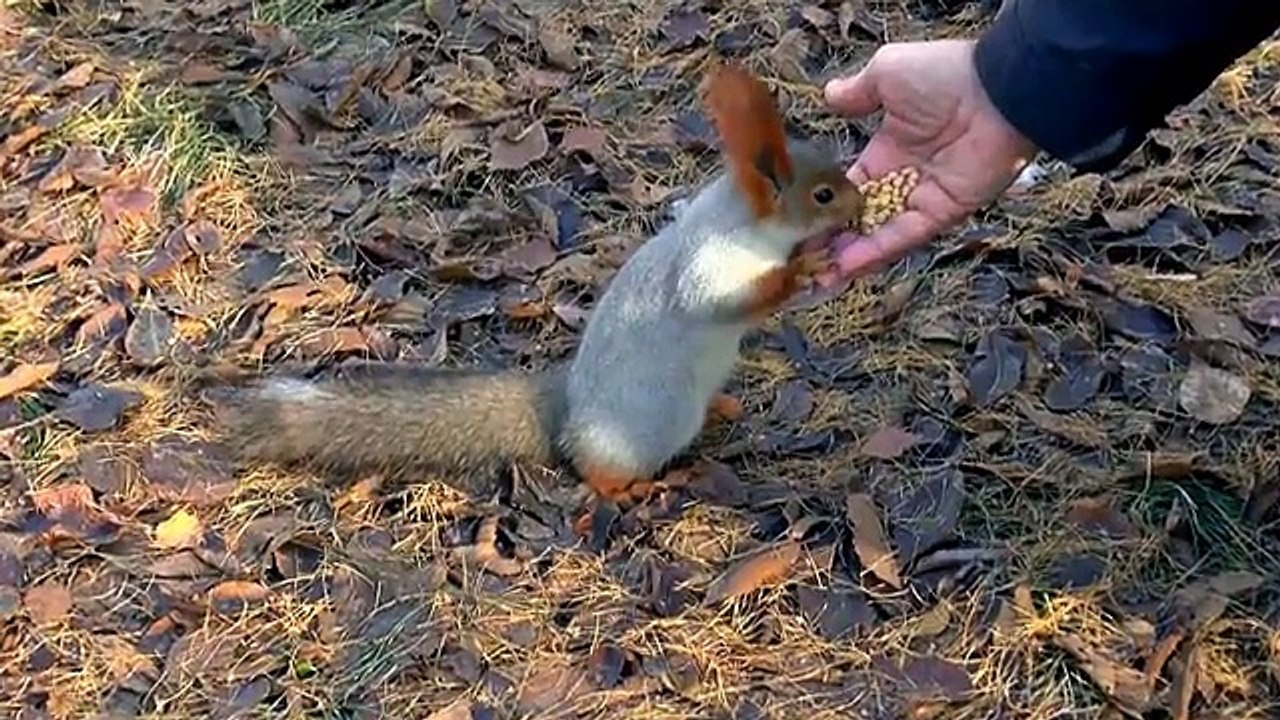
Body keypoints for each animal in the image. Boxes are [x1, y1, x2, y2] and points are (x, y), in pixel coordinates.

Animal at [209, 60, 866, 507]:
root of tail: (566, 407)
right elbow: (726, 303)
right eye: (823, 194)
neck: (743, 223)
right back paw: (622, 488)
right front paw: (801, 268)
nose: (858, 206)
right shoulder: (707, 266)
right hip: (644, 428)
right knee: (595, 465)